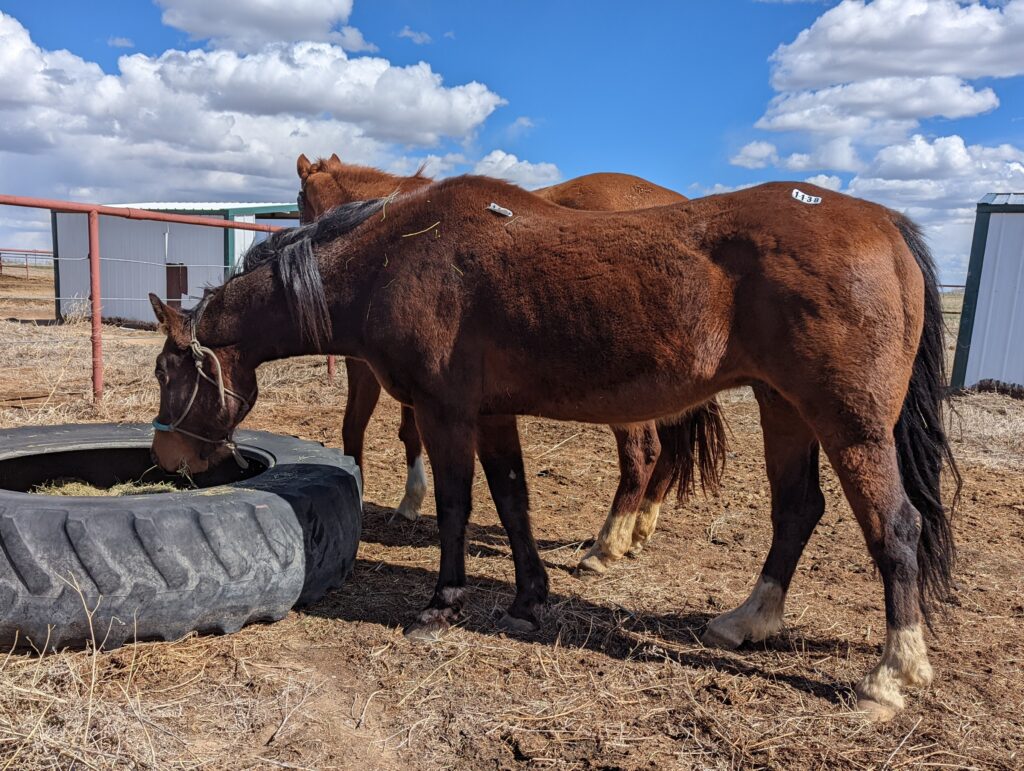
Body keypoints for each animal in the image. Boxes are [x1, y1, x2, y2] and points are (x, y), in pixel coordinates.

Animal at [296, 151, 729, 573]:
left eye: (299, 203)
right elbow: (410, 433)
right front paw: (410, 502)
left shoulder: (367, 366)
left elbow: (355, 428)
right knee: (670, 452)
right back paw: (637, 532)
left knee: (643, 453)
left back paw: (606, 547)